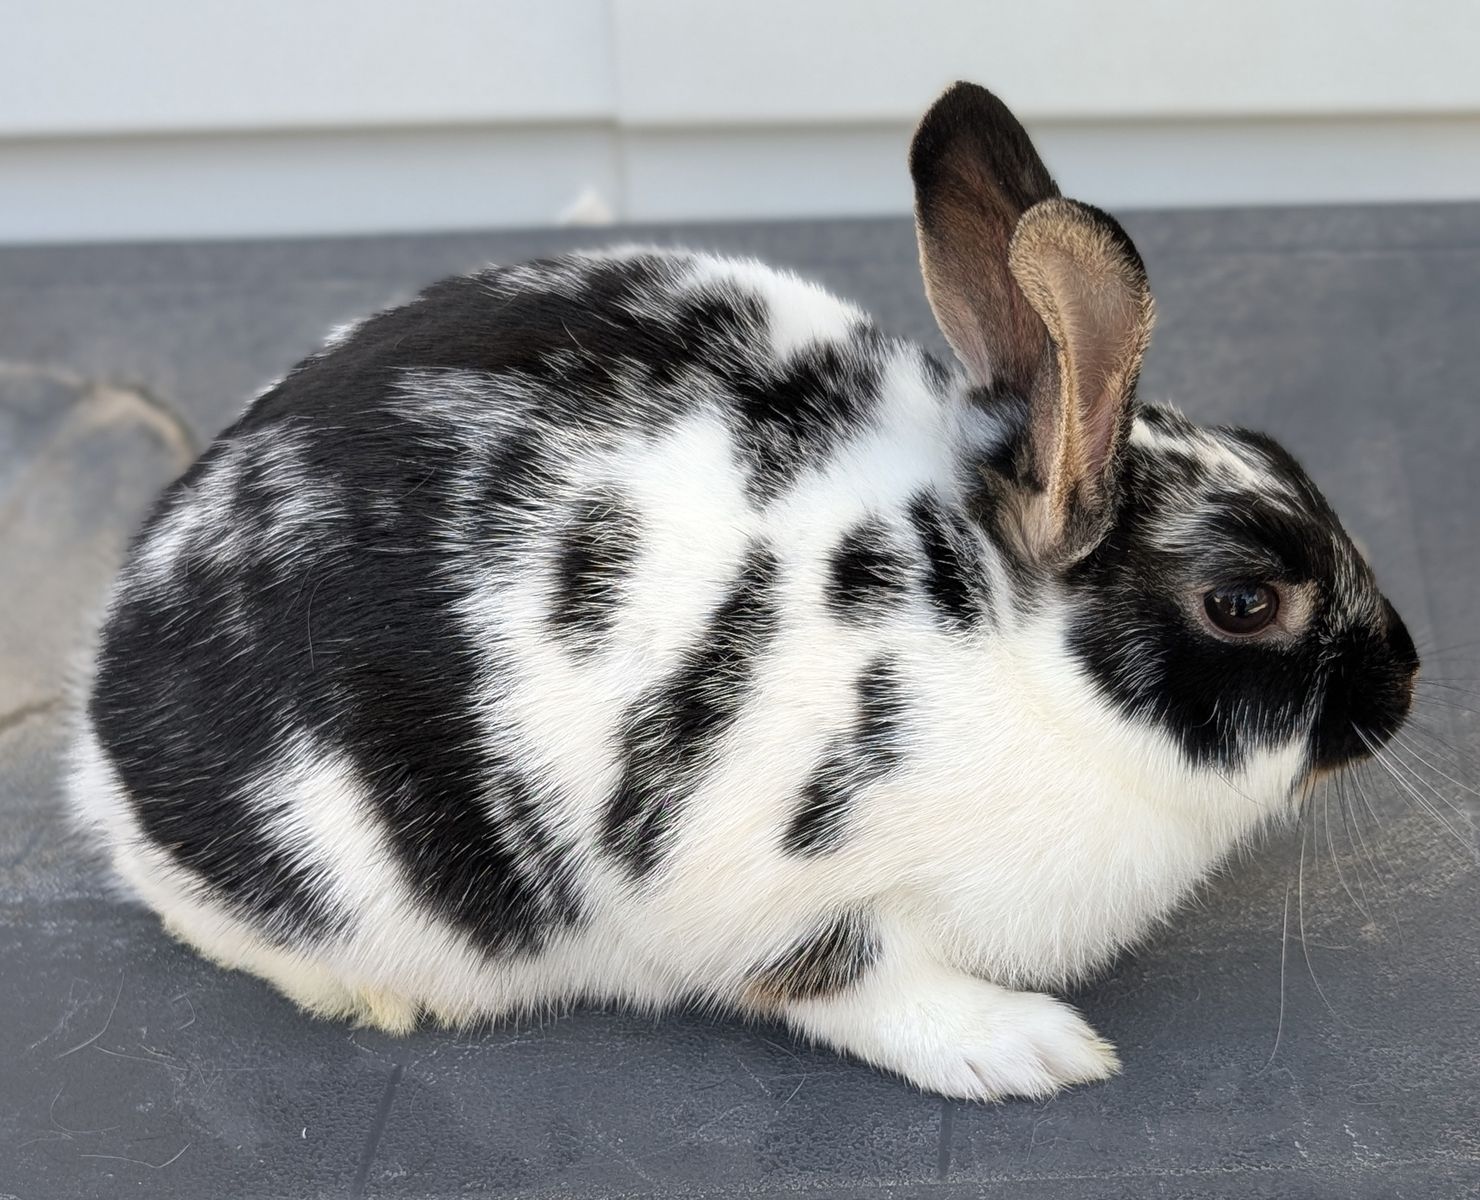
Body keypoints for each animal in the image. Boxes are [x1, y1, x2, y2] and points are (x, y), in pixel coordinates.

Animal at [69, 82, 1419, 1102]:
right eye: (1243, 603)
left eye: (1282, 452)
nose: (1403, 681)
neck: (1000, 641)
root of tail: (101, 725)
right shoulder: (772, 890)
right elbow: (860, 989)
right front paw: (1031, 1051)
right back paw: (374, 997)